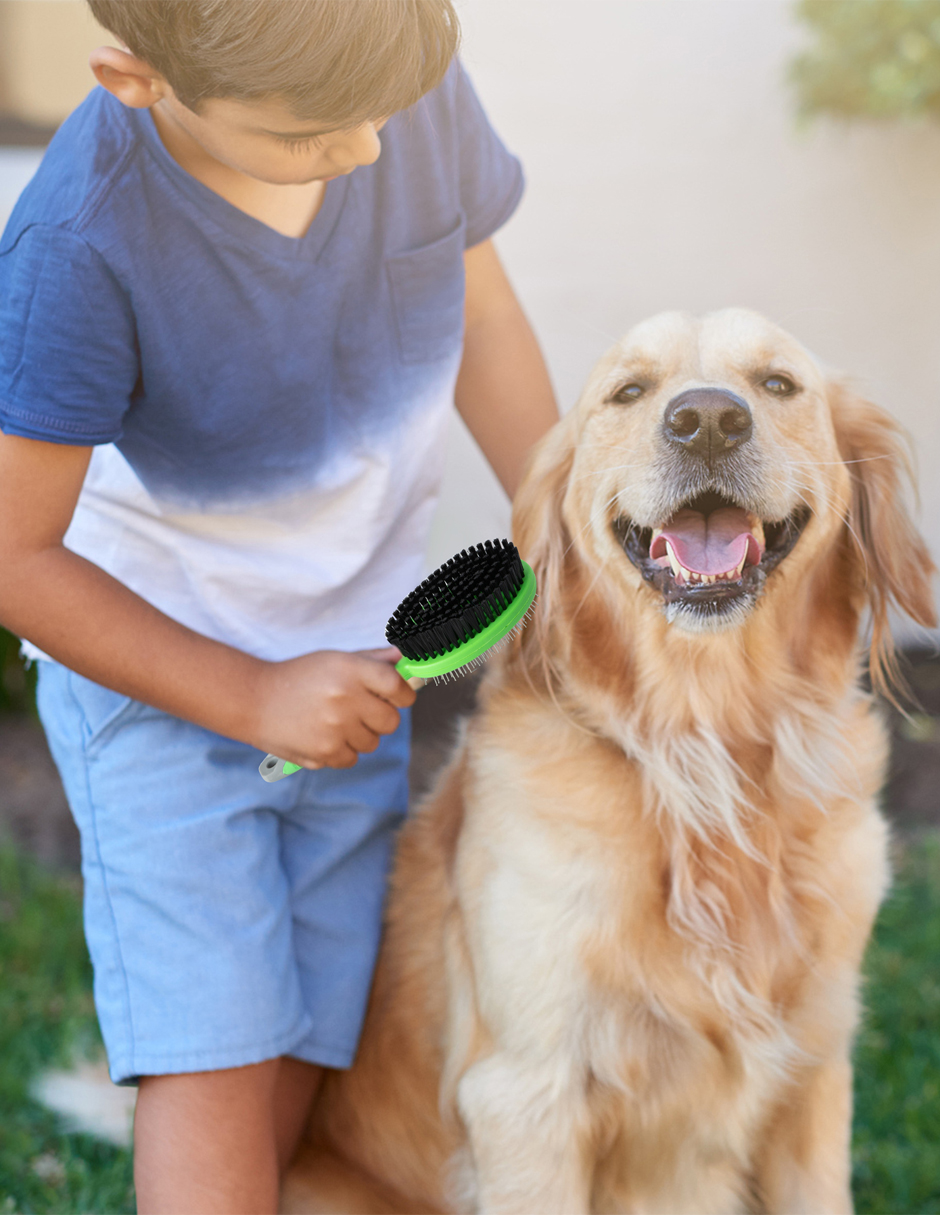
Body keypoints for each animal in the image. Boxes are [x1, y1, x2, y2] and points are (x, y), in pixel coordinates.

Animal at [282, 308, 937, 1210]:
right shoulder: (525, 1094)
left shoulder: (815, 1073)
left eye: (777, 384)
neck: (704, 751)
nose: (708, 420)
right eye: (629, 392)